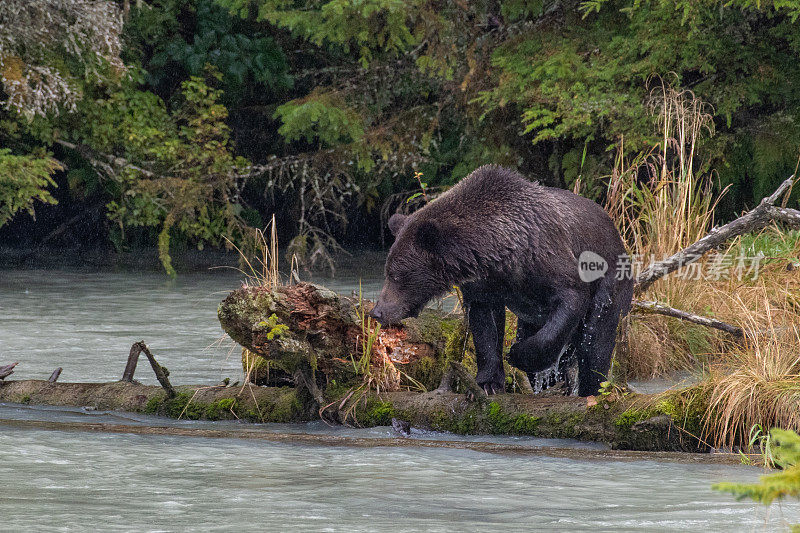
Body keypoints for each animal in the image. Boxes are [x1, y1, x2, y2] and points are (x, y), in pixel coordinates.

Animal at [372, 165, 636, 394]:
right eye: (388, 271)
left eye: (396, 274)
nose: (377, 312)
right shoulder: (486, 284)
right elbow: (485, 327)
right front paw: (488, 382)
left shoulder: (546, 257)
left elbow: (569, 299)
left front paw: (518, 354)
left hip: (611, 286)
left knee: (595, 346)